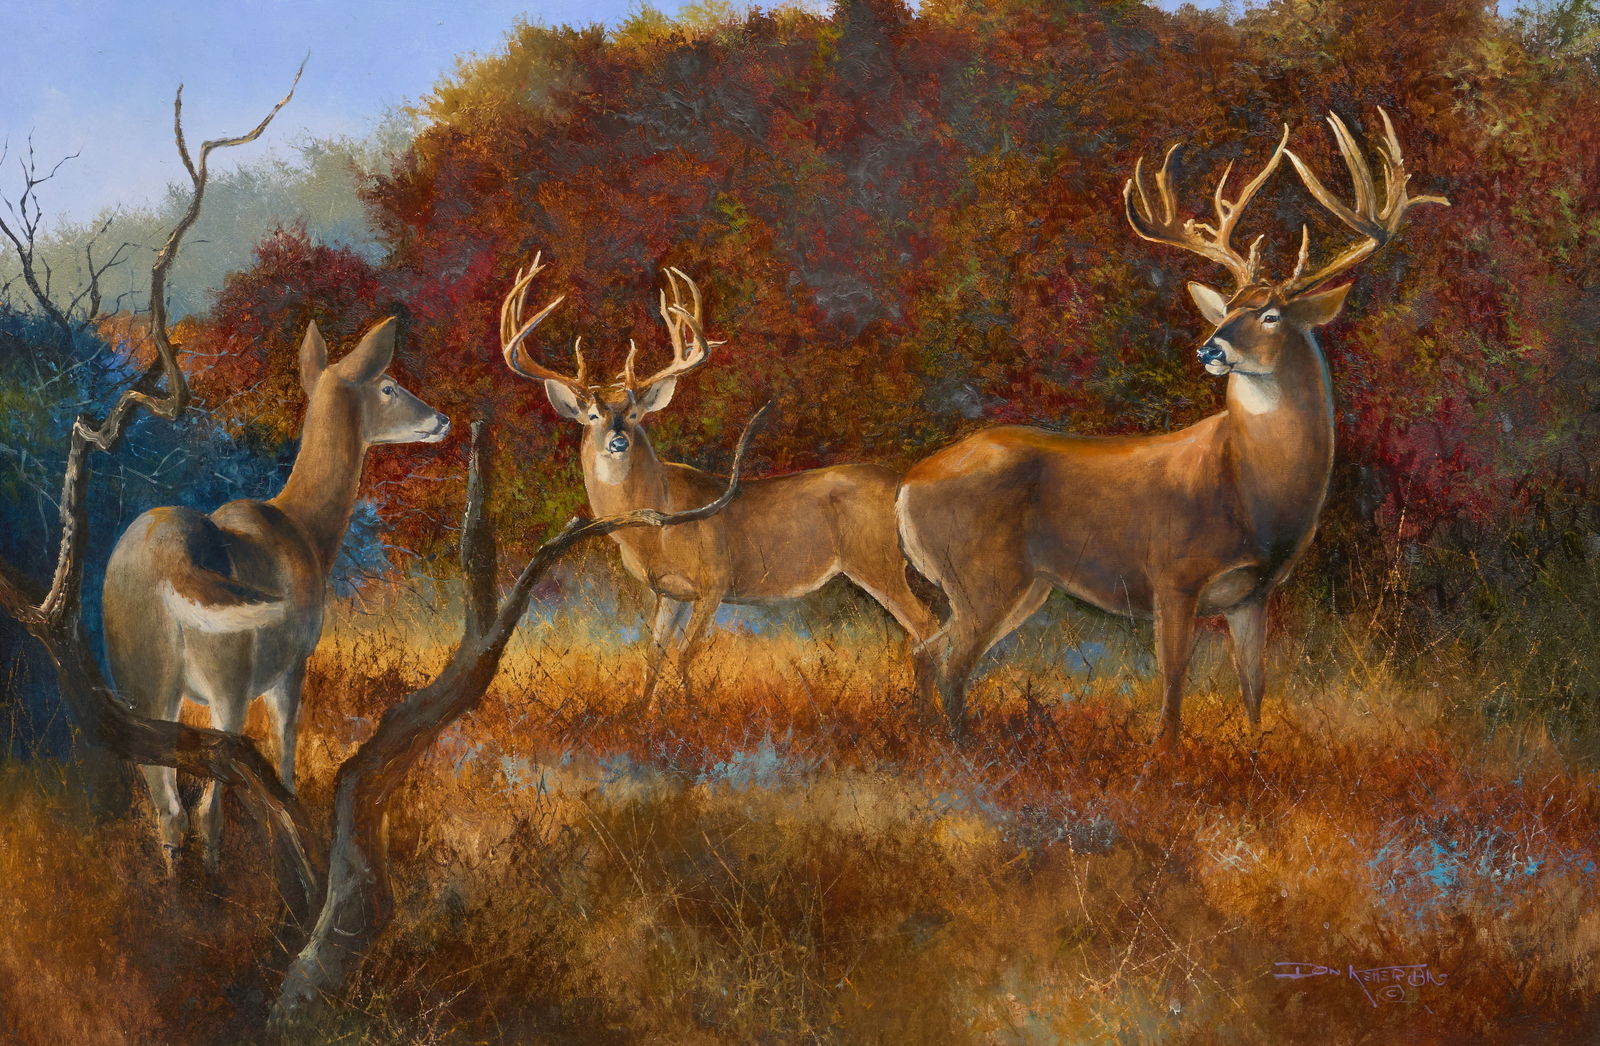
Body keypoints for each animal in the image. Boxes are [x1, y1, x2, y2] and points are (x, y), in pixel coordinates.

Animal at [102, 317, 450, 870]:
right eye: (389, 386)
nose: (442, 419)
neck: (306, 531)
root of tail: (168, 562)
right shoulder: (292, 665)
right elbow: (287, 767)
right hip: (228, 674)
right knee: (207, 811)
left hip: (139, 675)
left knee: (169, 810)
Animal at [499, 256, 940, 707]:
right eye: (591, 416)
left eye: (636, 414)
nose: (618, 440)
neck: (653, 529)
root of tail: (903, 484)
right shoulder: (668, 592)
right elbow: (653, 657)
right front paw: (640, 713)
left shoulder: (715, 579)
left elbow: (683, 655)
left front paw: (693, 713)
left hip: (878, 560)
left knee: (929, 628)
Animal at [896, 110, 1446, 749]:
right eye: (1226, 307)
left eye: (1270, 314)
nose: (1210, 348)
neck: (1253, 492)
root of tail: (906, 487)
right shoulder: (1173, 575)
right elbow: (1174, 682)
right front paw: (1165, 756)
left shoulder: (1252, 594)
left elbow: (1254, 686)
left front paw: (1254, 753)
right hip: (982, 574)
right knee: (951, 660)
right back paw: (960, 748)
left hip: (1017, 585)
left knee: (925, 650)